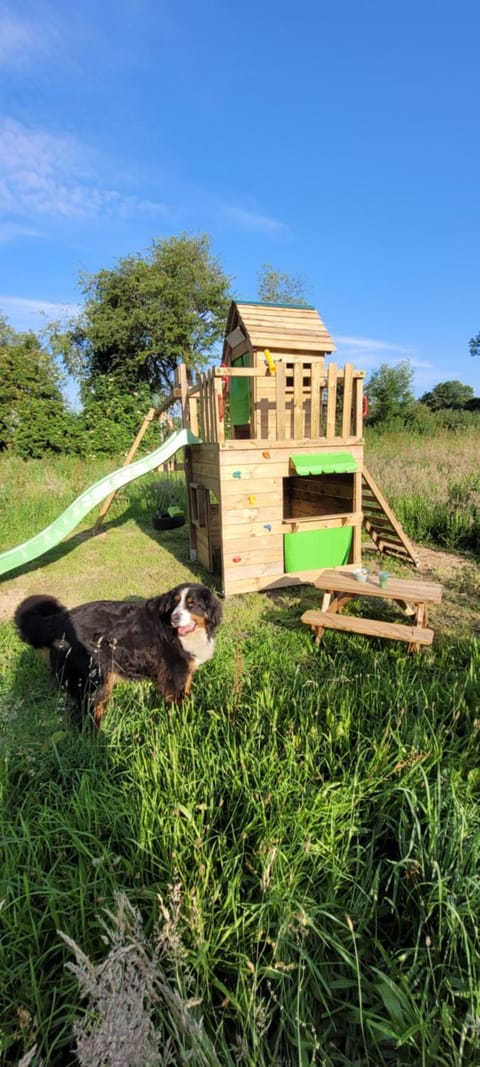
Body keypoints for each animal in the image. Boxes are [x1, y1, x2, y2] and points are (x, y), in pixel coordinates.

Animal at [14, 580, 221, 729]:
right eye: (175, 603)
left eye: (192, 605)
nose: (174, 618)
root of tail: (58, 620)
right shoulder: (174, 674)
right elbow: (179, 702)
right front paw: (183, 721)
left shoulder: (184, 672)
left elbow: (187, 692)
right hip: (94, 679)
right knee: (84, 715)